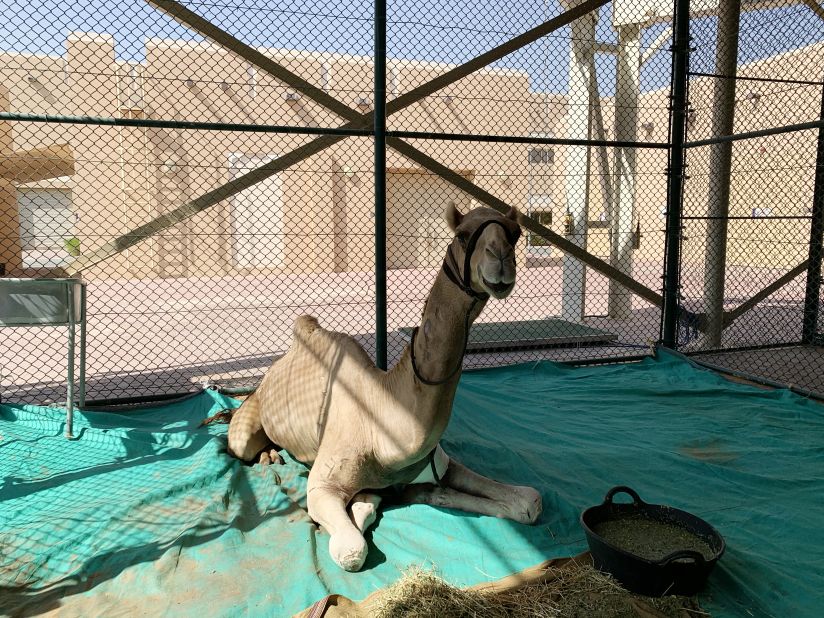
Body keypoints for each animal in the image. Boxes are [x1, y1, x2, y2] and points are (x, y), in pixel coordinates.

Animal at [224, 202, 540, 568]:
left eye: (515, 234)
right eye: (462, 235)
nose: (500, 259)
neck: (383, 424)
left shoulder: (439, 466)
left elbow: (530, 500)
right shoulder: (321, 486)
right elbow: (352, 549)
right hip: (249, 420)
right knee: (242, 443)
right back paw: (269, 455)